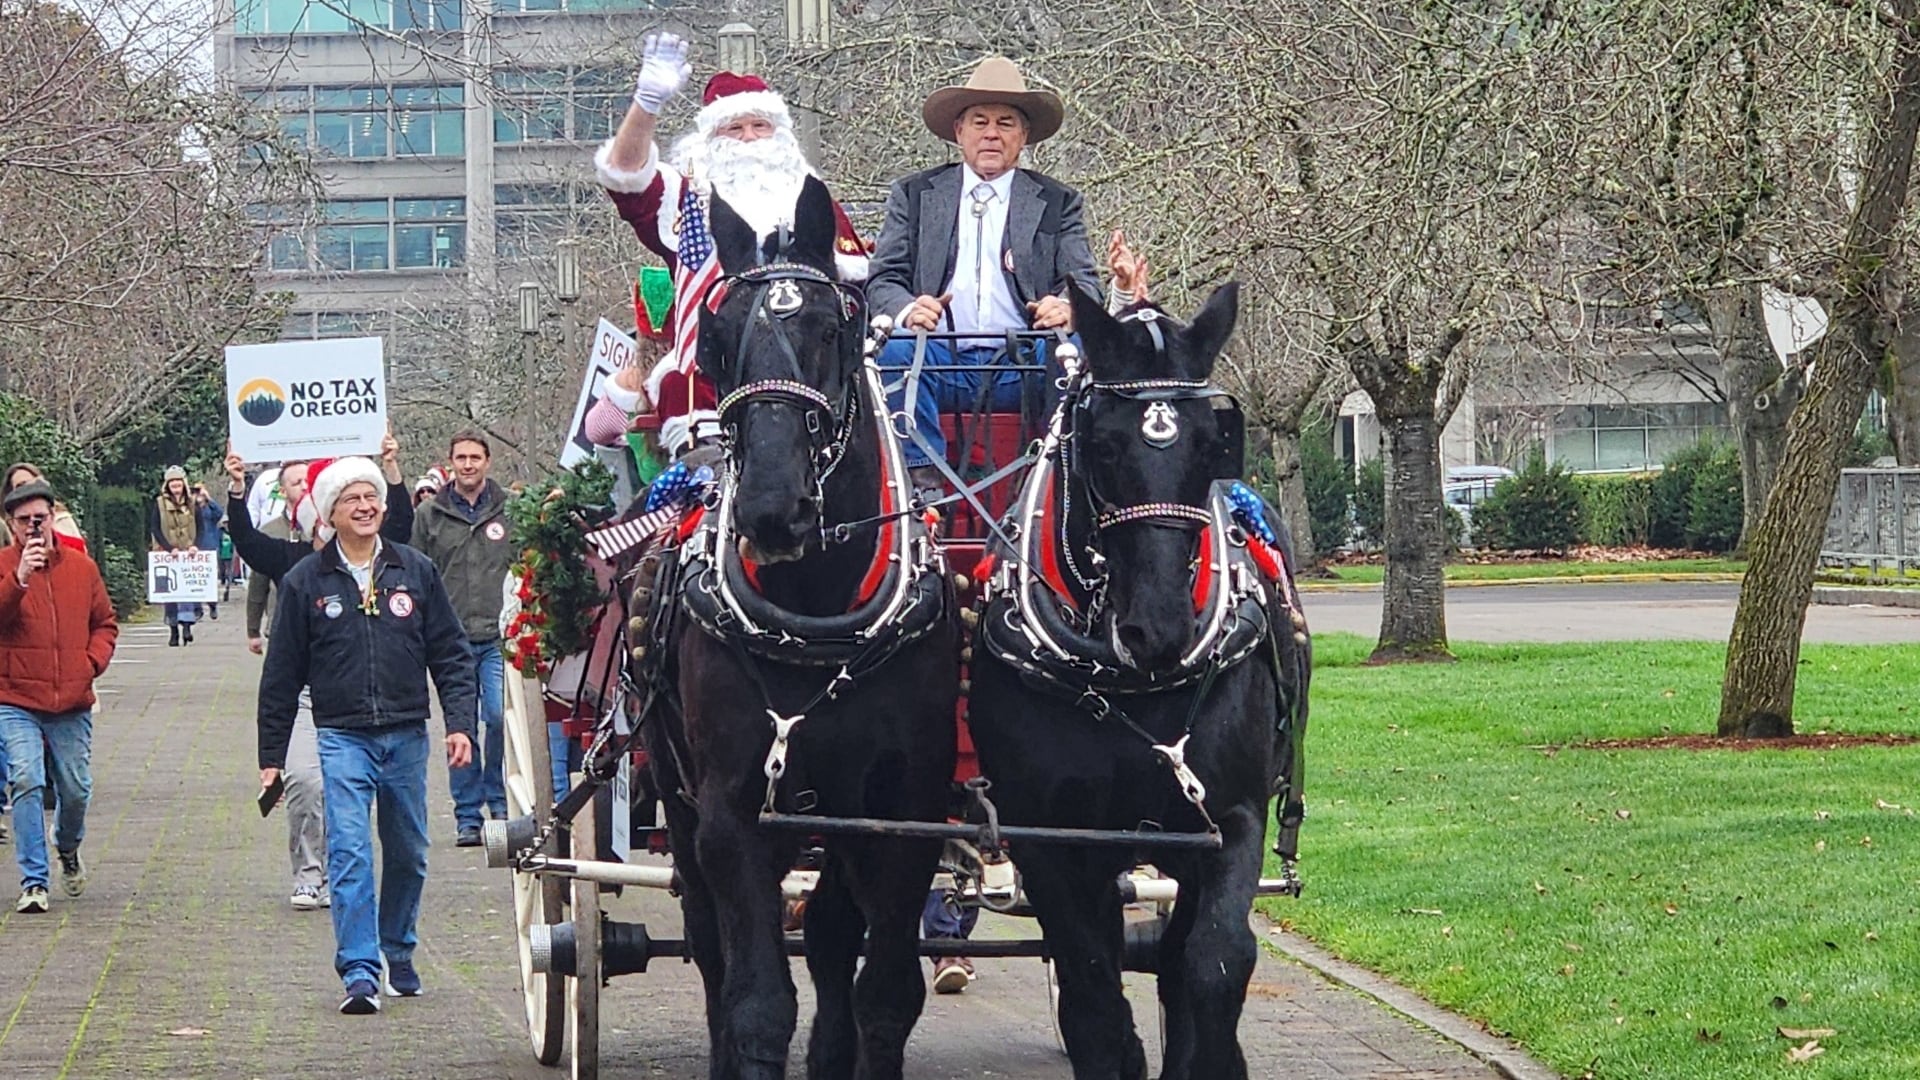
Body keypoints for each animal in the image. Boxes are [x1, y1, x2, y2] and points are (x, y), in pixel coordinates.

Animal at [640, 175, 958, 1080]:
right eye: (714, 339)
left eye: (831, 328)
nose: (771, 510)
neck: (817, 619)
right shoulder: (732, 813)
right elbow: (755, 1002)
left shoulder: (902, 810)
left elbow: (885, 991)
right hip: (678, 800)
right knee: (713, 946)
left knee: (827, 936)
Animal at [965, 283, 1312, 1080]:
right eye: (1102, 444)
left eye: (1212, 442)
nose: (1159, 629)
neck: (1129, 687)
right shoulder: (1051, 840)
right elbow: (1092, 985)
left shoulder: (1226, 822)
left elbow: (1214, 962)